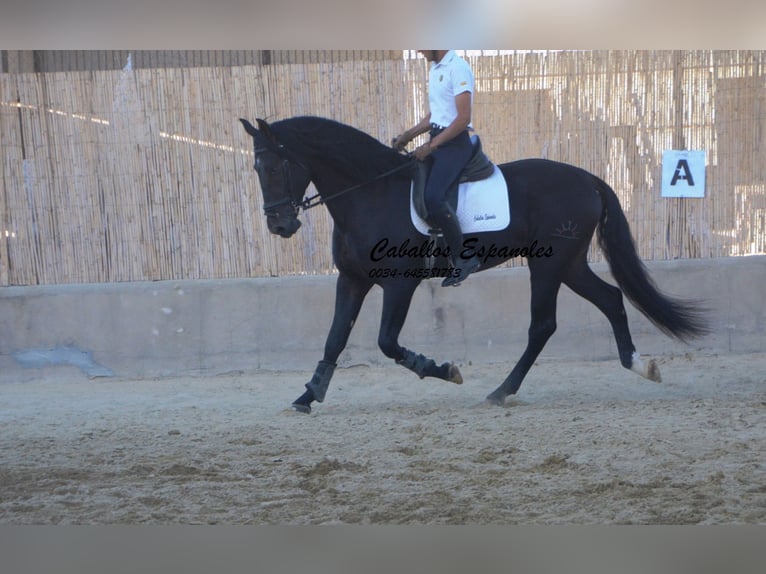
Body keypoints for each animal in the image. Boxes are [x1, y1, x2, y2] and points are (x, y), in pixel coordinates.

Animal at [240, 116, 708, 414]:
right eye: (257, 168)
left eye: (277, 166)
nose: (280, 225)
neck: (370, 193)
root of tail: (587, 178)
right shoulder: (352, 280)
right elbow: (334, 340)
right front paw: (307, 397)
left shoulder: (399, 284)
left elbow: (387, 343)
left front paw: (443, 370)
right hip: (571, 264)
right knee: (610, 299)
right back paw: (639, 365)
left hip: (549, 265)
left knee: (543, 325)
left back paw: (501, 391)